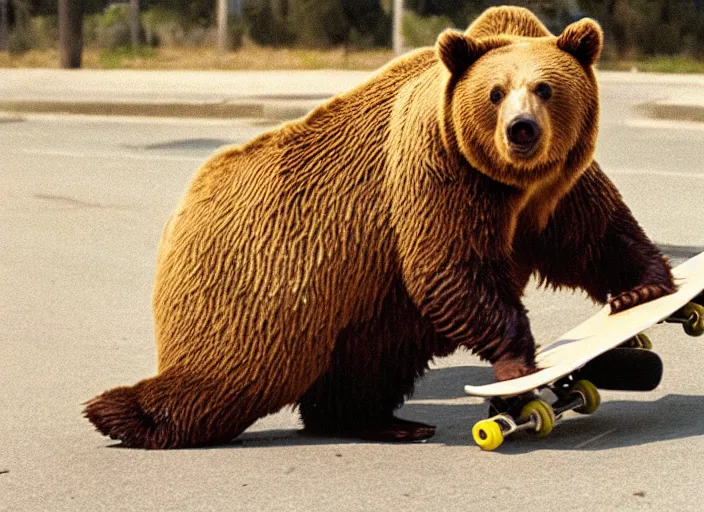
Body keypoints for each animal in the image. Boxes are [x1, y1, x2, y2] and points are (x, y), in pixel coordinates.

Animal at [85, 7, 672, 448]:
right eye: (496, 92)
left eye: (546, 88)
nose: (522, 130)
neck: (511, 184)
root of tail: (183, 207)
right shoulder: (435, 172)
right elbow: (449, 268)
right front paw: (519, 366)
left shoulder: (555, 190)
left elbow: (595, 236)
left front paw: (643, 291)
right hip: (264, 279)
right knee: (232, 373)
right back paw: (122, 413)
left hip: (369, 298)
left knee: (373, 358)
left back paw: (386, 421)